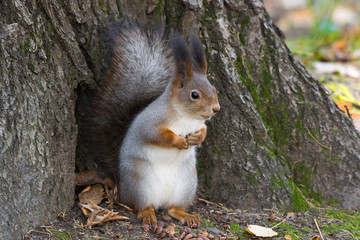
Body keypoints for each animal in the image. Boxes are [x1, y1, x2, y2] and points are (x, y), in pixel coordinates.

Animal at [90, 19, 219, 227]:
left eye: (214, 89)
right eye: (194, 95)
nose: (216, 109)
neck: (186, 117)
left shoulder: (200, 124)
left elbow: (203, 132)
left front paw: (196, 139)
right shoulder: (150, 122)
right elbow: (156, 135)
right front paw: (179, 141)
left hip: (186, 183)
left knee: (173, 208)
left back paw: (184, 214)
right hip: (140, 180)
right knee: (142, 205)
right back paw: (148, 214)